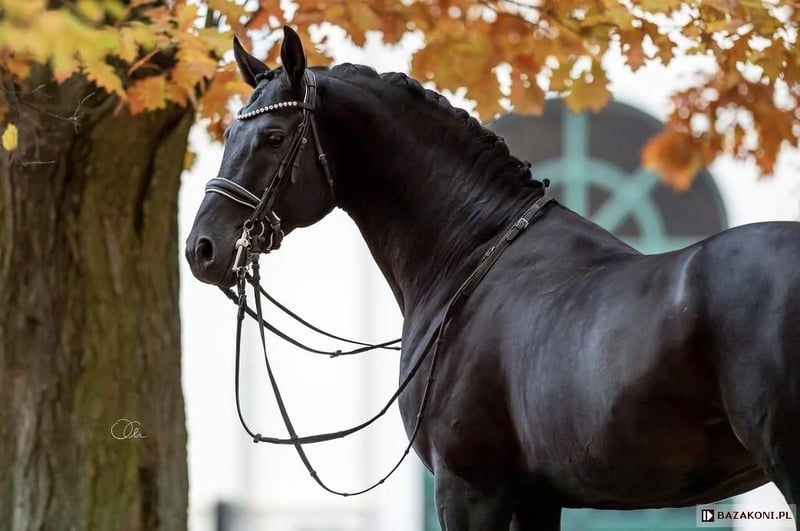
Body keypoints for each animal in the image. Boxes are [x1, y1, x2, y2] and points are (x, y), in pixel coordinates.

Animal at [185, 26, 800, 530]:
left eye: (273, 137)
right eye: (225, 137)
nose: (201, 249)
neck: (473, 255)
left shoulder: (469, 486)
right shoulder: (536, 496)